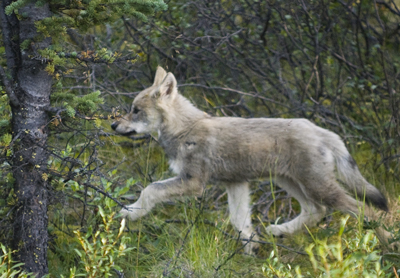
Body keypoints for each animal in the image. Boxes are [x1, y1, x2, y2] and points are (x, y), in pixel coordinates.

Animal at [111, 66, 394, 253]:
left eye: (135, 111)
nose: (113, 125)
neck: (184, 130)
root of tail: (322, 130)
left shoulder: (194, 183)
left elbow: (149, 190)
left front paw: (131, 212)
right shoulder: (236, 184)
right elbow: (241, 225)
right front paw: (251, 253)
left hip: (318, 187)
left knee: (366, 211)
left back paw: (389, 245)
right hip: (290, 183)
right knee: (316, 211)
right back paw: (278, 231)